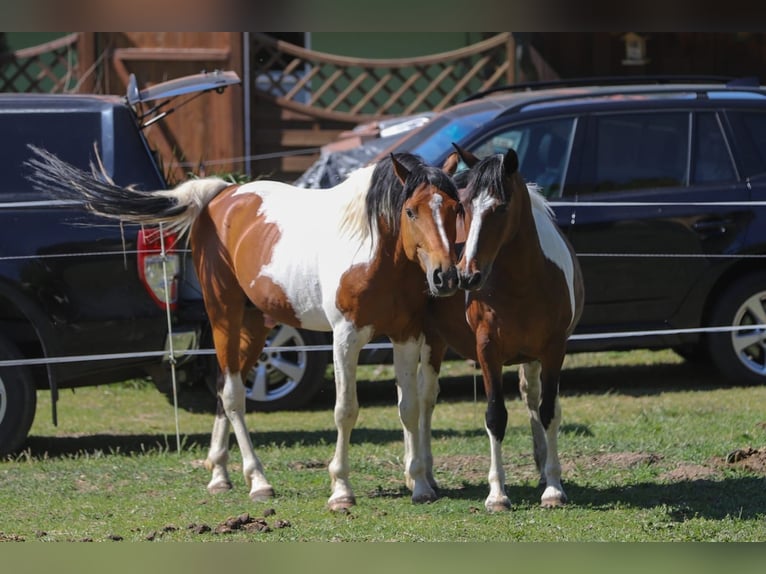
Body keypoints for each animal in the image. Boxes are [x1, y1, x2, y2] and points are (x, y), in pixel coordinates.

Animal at [26, 146, 462, 511]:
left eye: (456, 208)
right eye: (411, 211)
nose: (446, 277)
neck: (371, 250)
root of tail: (221, 195)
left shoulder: (406, 335)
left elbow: (409, 408)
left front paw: (421, 485)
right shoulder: (345, 338)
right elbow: (345, 410)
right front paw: (340, 490)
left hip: (255, 326)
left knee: (223, 387)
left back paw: (220, 474)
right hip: (225, 314)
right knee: (234, 396)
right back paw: (258, 480)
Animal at [419, 145, 584, 511]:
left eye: (501, 207)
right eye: (464, 207)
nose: (466, 276)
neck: (522, 282)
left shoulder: (553, 350)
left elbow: (548, 410)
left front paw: (553, 487)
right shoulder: (487, 351)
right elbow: (495, 416)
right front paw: (497, 495)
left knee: (532, 397)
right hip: (431, 343)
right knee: (424, 399)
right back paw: (425, 479)